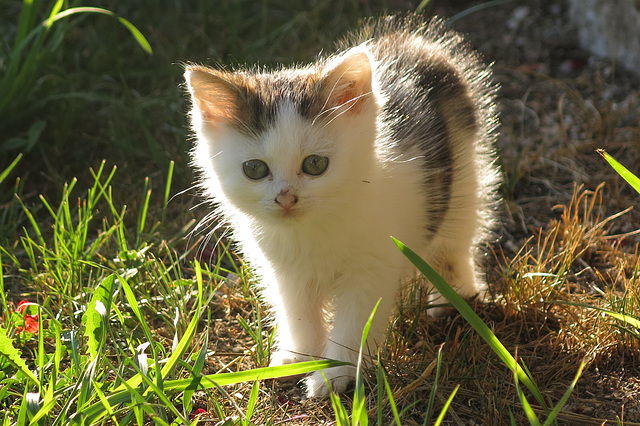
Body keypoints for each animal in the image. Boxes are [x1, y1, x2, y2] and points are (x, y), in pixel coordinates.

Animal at [185, 15, 500, 398]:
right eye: (255, 169)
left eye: (315, 165)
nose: (286, 198)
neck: (315, 227)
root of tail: (411, 42)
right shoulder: (286, 271)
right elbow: (298, 312)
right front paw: (299, 357)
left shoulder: (372, 267)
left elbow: (355, 320)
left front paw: (334, 374)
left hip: (463, 173)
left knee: (456, 242)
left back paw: (451, 298)